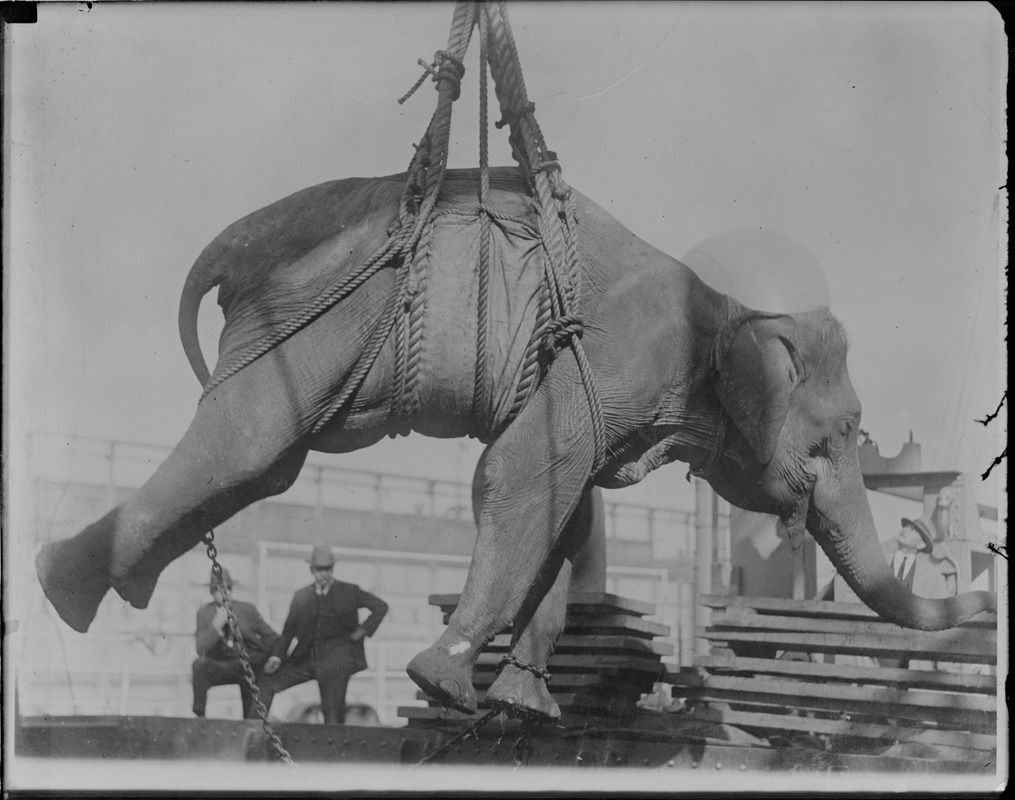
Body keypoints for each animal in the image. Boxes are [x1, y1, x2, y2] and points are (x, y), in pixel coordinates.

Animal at [35, 165, 994, 714]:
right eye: (838, 438)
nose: (972, 588)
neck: (726, 311)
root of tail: (223, 249)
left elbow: (568, 517)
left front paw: (527, 711)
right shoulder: (615, 360)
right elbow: (518, 475)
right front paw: (440, 683)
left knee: (265, 468)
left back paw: (93, 587)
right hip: (306, 319)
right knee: (249, 446)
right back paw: (62, 589)